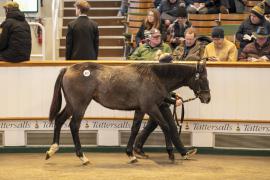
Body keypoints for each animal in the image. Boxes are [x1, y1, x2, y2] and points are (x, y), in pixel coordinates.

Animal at [46, 61, 211, 165]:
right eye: (203, 79)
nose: (207, 98)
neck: (154, 78)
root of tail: (67, 69)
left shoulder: (140, 109)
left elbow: (135, 129)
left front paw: (131, 155)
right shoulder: (151, 107)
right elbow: (165, 126)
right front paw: (170, 153)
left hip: (71, 105)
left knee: (59, 120)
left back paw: (52, 150)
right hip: (80, 105)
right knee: (74, 126)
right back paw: (82, 157)